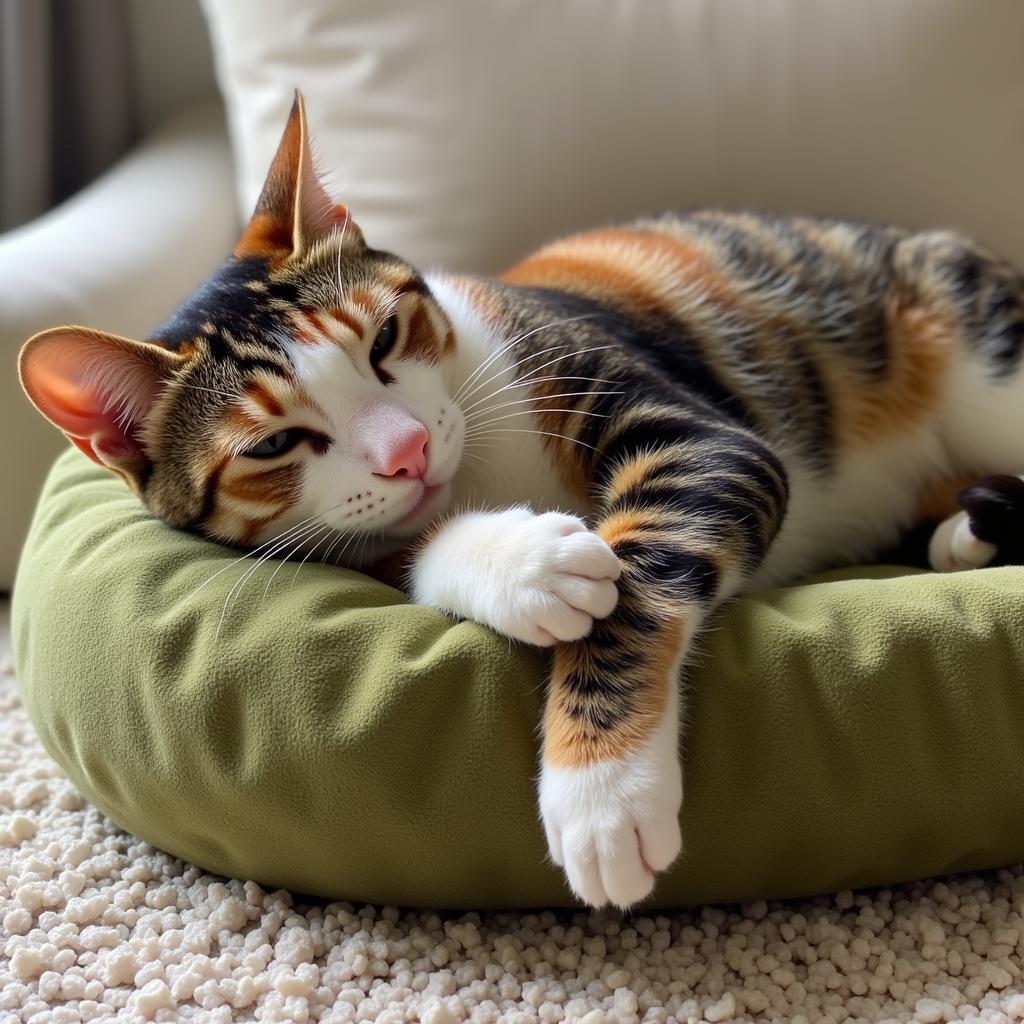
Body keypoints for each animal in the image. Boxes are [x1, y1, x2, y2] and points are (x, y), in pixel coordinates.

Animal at [14, 96, 1024, 909]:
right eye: (271, 445)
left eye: (385, 336)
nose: (410, 451)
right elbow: (408, 548)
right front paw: (529, 566)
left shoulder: (683, 423)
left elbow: (653, 553)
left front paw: (602, 794)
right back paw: (963, 533)